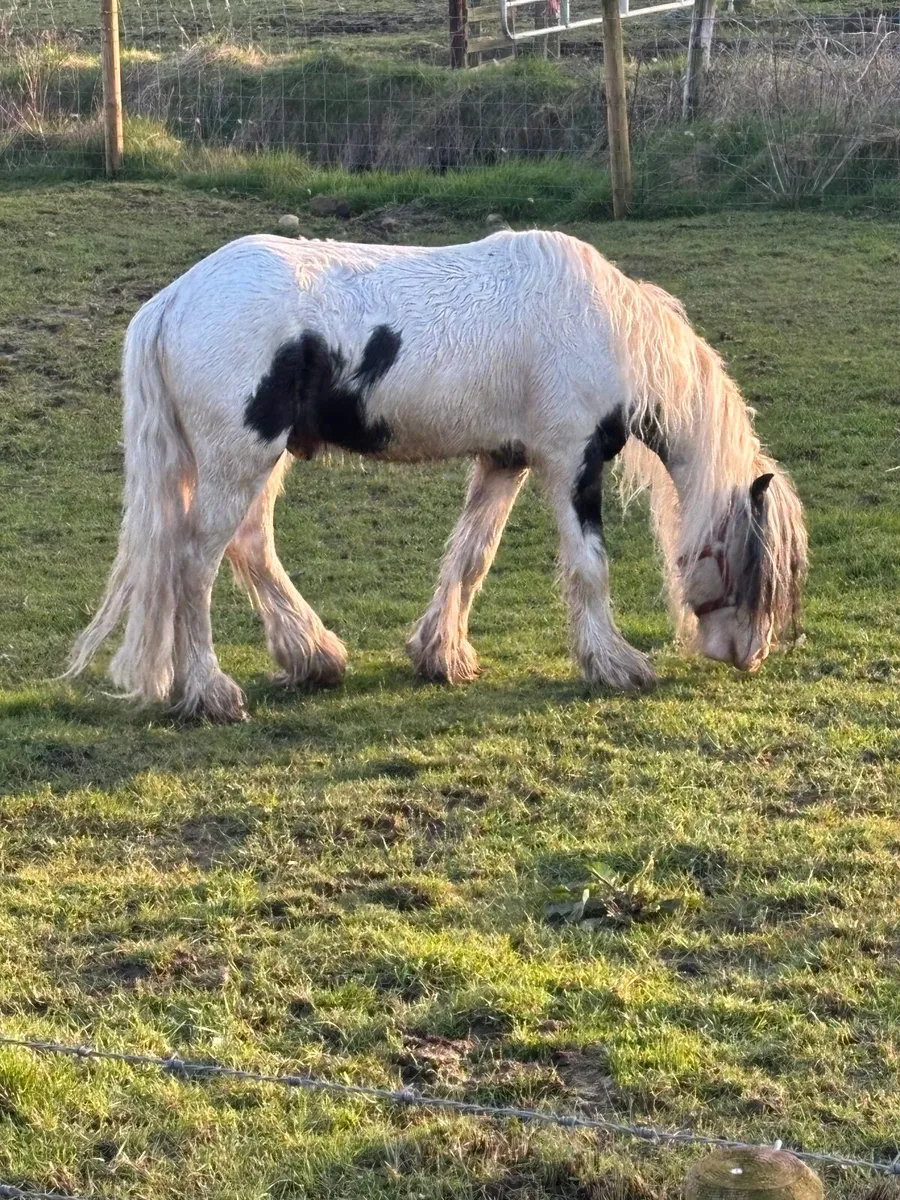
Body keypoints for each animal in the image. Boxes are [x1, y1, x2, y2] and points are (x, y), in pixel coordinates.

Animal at [64, 229, 807, 723]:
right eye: (756, 569)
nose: (749, 655)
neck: (599, 326)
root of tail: (174, 298)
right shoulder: (571, 459)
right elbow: (587, 567)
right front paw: (614, 664)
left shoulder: (506, 459)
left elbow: (472, 557)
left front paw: (440, 655)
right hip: (239, 459)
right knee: (195, 566)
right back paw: (210, 692)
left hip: (252, 461)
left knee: (249, 548)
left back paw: (313, 658)